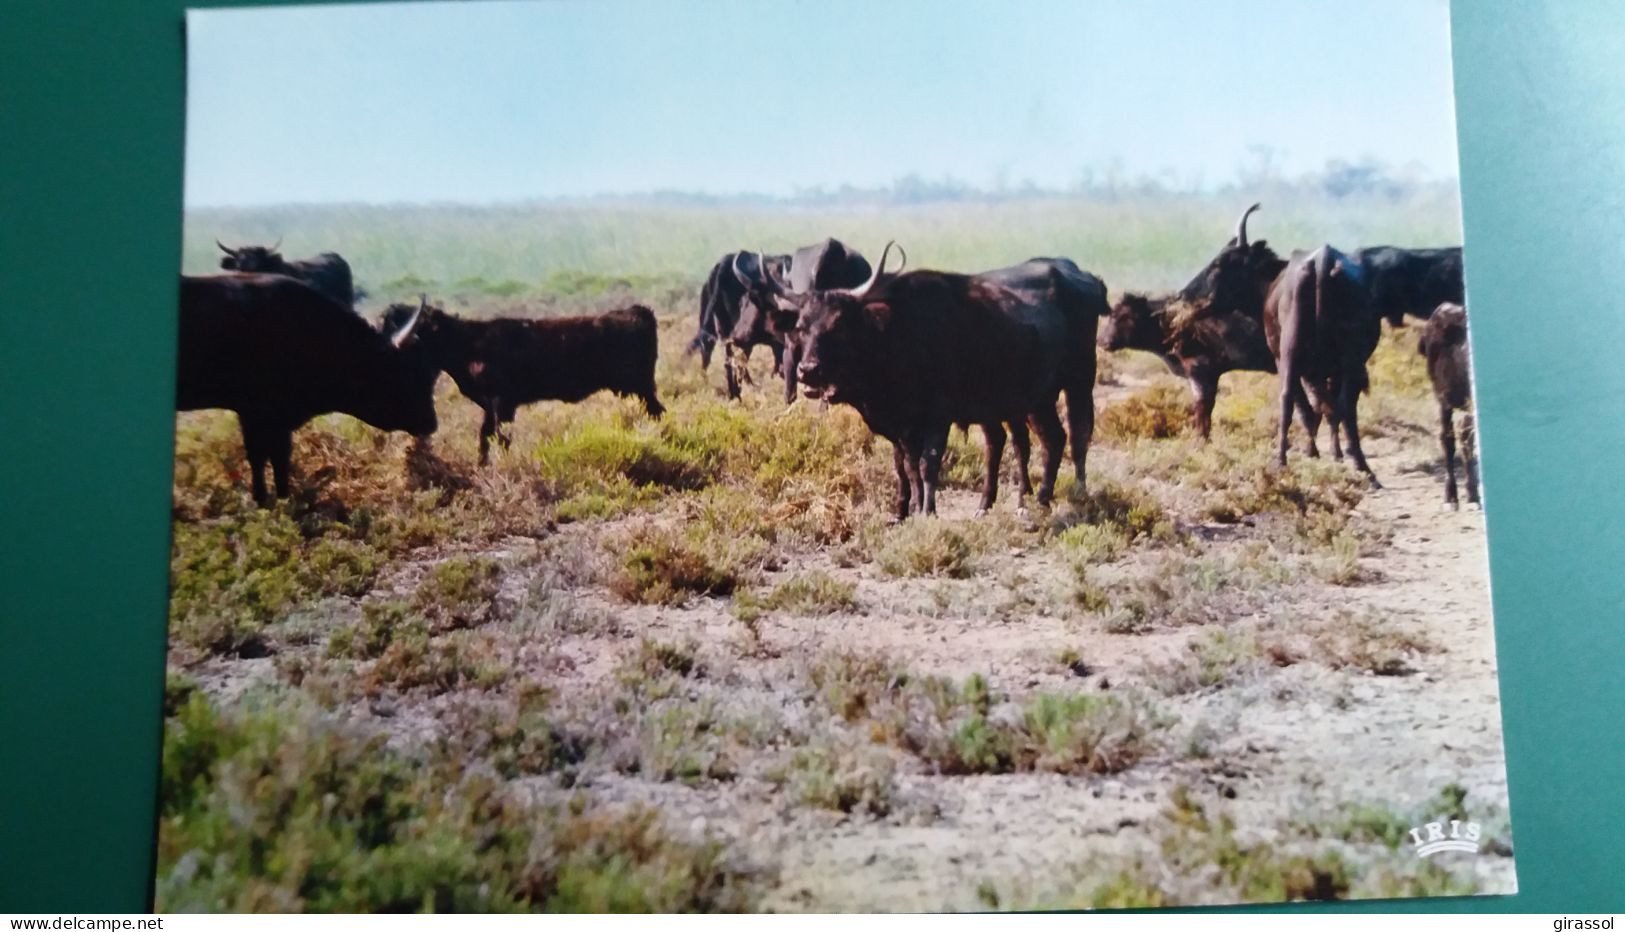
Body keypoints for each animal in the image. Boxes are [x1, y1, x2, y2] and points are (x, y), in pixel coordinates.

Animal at [380, 303, 659, 464]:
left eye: (397, 321)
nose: (389, 343)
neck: (468, 343)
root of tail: (637, 311)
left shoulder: (502, 403)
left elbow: (500, 438)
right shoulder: (489, 406)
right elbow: (485, 437)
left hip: (642, 388)